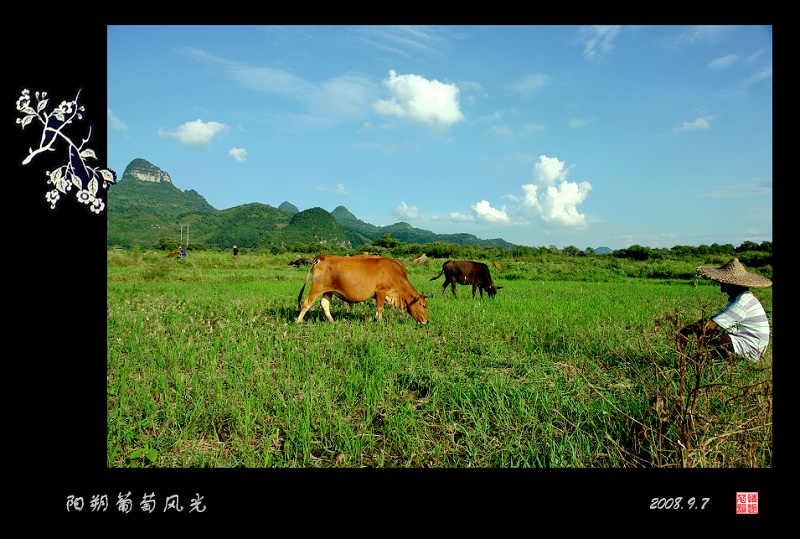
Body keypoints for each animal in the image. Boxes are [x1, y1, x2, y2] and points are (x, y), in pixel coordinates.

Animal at [296, 254, 428, 324]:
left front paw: (371, 319)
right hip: (317, 288)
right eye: (423, 305)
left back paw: (333, 321)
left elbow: (377, 309)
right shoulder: (381, 292)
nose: (426, 321)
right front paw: (380, 322)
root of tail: (323, 257)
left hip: (328, 290)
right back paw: (298, 321)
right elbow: (380, 309)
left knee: (324, 304)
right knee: (306, 303)